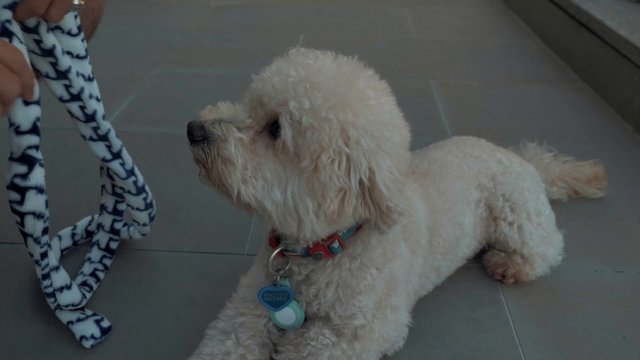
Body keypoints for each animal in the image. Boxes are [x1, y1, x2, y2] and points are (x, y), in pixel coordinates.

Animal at [185, 48, 604, 360]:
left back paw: (511, 264)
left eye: (275, 129)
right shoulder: (248, 304)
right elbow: (229, 337)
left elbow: (313, 343)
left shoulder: (365, 327)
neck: (325, 247)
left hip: (516, 212)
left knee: (548, 246)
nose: (194, 129)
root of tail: (521, 158)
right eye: (247, 103)